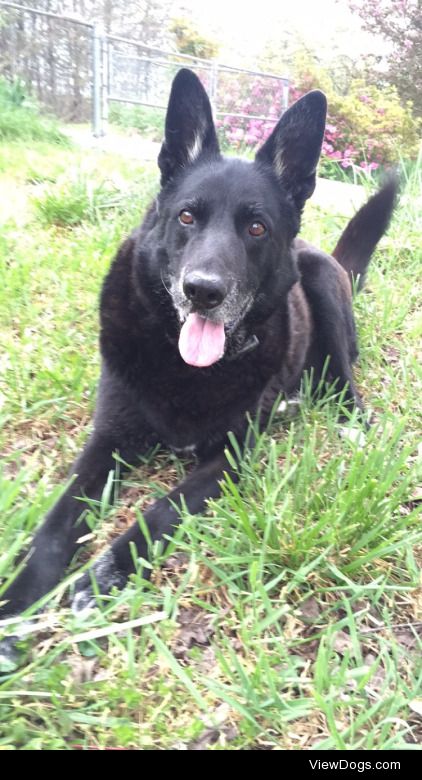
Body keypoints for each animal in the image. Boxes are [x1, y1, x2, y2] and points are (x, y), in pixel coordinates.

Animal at [0, 68, 398, 620]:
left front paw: (102, 575)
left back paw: (351, 424)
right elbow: (57, 521)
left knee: (344, 382)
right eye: (187, 217)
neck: (181, 364)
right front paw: (18, 597)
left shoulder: (228, 457)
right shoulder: (107, 441)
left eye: (256, 227)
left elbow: (160, 509)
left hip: (320, 283)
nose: (204, 292)